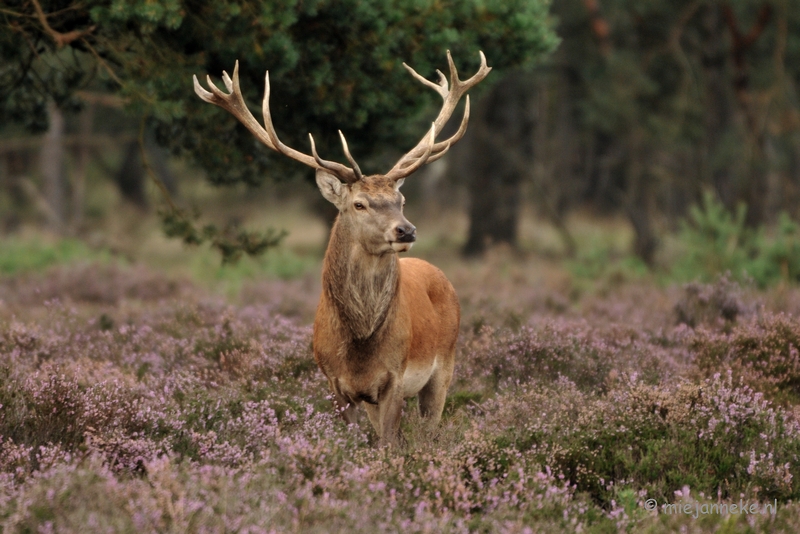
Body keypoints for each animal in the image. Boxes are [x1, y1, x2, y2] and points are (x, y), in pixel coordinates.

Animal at [197, 51, 490, 448]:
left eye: (401, 200)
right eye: (359, 204)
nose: (406, 229)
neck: (359, 345)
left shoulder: (395, 377)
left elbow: (388, 443)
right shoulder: (335, 383)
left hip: (445, 362)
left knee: (431, 426)